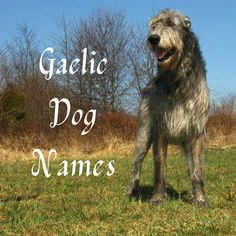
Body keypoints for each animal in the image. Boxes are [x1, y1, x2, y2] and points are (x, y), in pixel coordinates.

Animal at [128, 9, 209, 206]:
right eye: (153, 25)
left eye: (171, 23)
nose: (153, 39)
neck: (177, 77)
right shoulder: (160, 130)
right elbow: (159, 169)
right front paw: (157, 197)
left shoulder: (196, 132)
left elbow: (197, 171)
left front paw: (200, 198)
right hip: (143, 135)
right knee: (136, 165)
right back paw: (134, 192)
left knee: (191, 167)